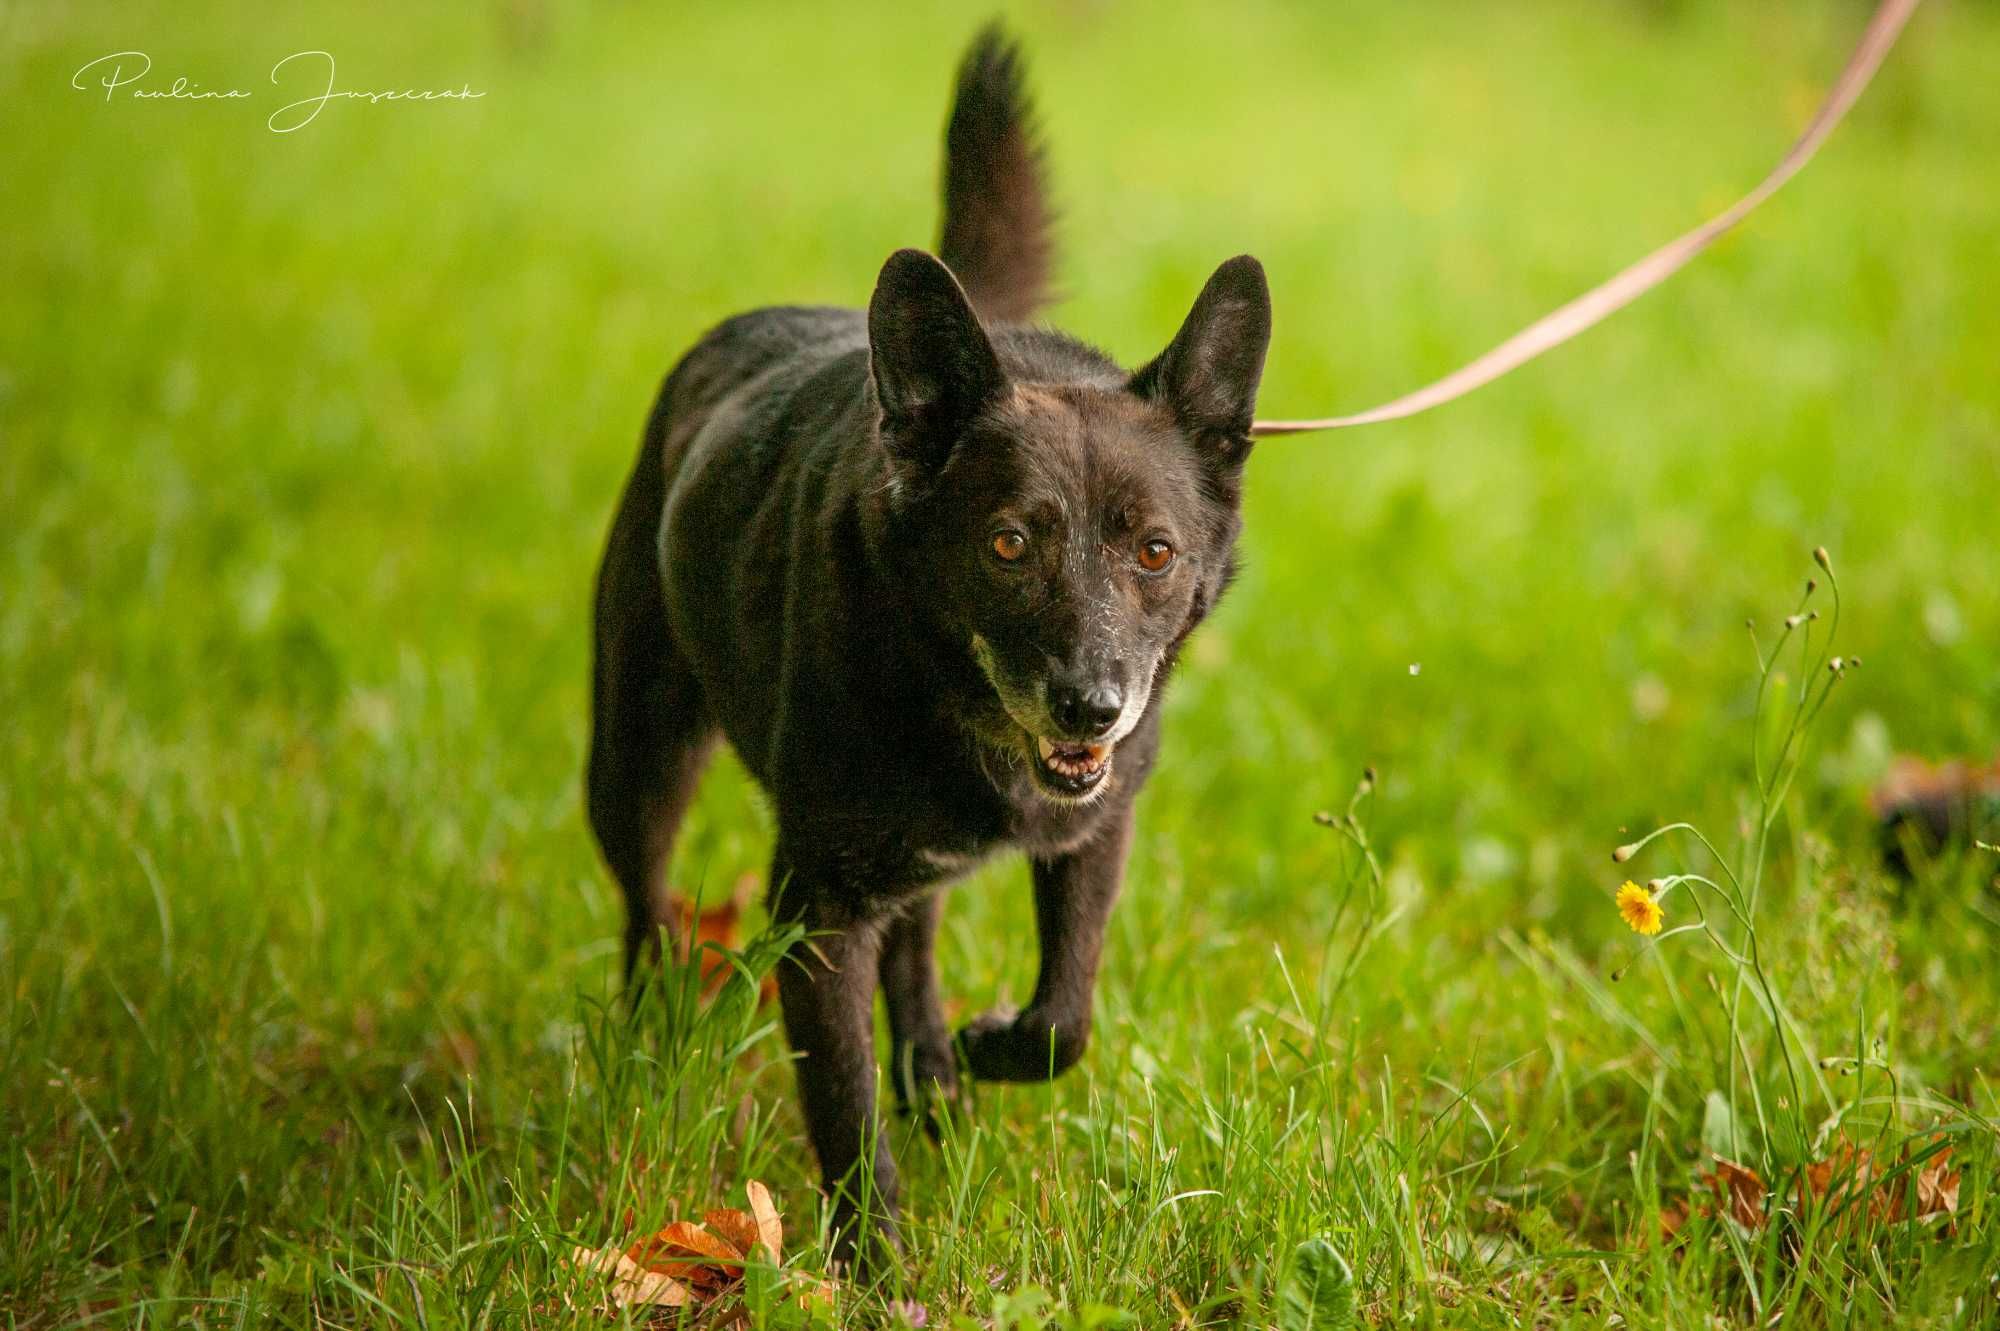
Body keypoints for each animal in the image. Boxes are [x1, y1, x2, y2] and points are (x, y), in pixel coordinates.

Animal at [584, 28, 1264, 1255]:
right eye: (1007, 544)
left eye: (1154, 551)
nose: (1091, 706)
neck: (965, 713)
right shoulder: (815, 913)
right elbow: (844, 1113)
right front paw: (873, 1264)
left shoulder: (1093, 832)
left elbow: (1066, 1014)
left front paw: (991, 1045)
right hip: (636, 755)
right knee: (646, 898)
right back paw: (648, 1034)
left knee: (914, 938)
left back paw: (938, 1073)